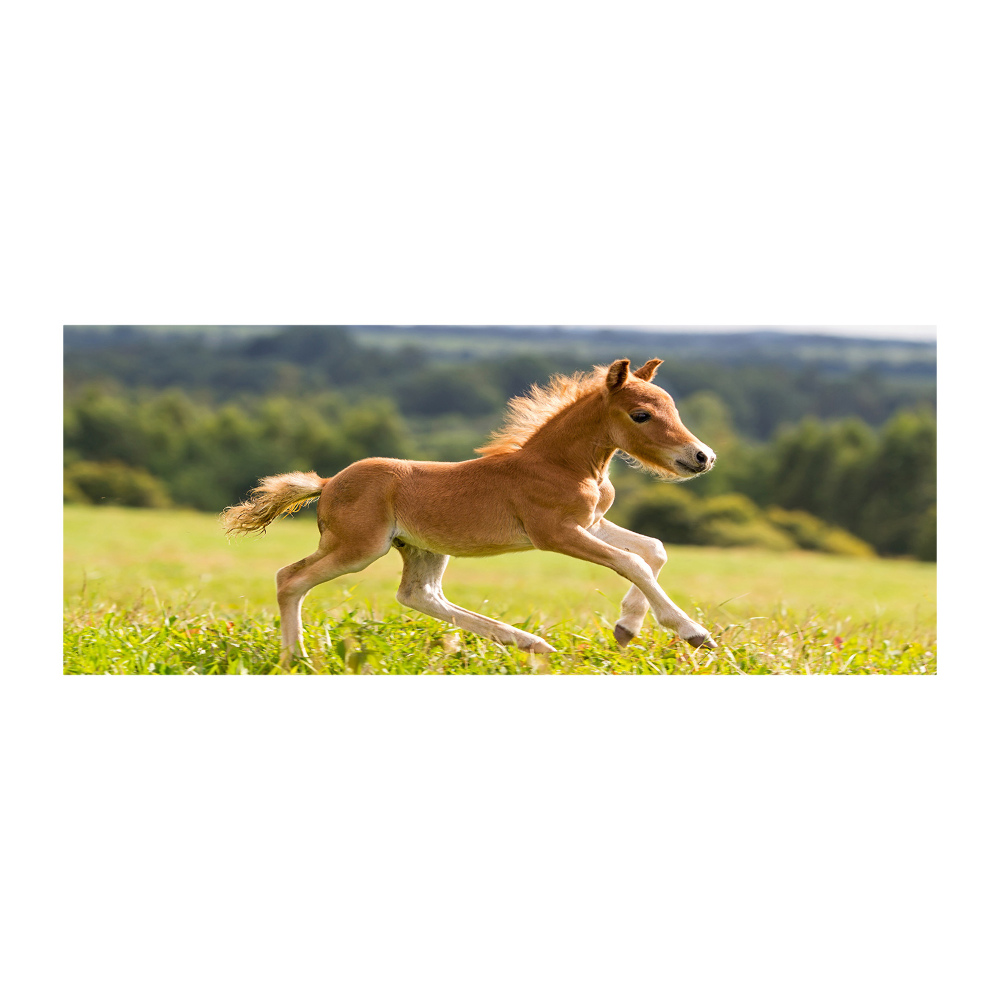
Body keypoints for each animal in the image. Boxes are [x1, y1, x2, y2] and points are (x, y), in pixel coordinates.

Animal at [221, 356, 720, 668]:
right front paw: (693, 632)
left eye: (672, 407)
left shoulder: (590, 522)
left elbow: (653, 550)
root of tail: (326, 484)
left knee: (419, 595)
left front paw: (625, 628)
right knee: (291, 578)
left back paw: (532, 643)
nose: (702, 457)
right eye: (640, 415)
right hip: (358, 547)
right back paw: (296, 659)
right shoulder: (555, 532)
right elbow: (632, 562)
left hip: (420, 547)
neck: (562, 464)